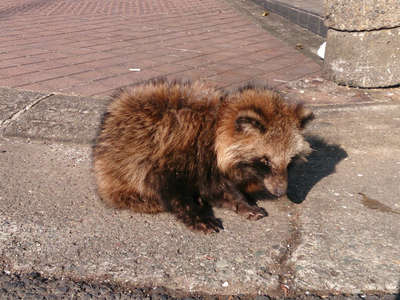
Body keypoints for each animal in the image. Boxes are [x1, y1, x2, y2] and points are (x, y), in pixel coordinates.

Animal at [93, 79, 312, 232]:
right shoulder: (176, 148)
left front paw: (241, 201)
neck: (215, 126)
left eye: (290, 161)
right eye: (265, 160)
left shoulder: (209, 164)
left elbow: (219, 187)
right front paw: (195, 213)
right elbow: (167, 185)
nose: (280, 192)